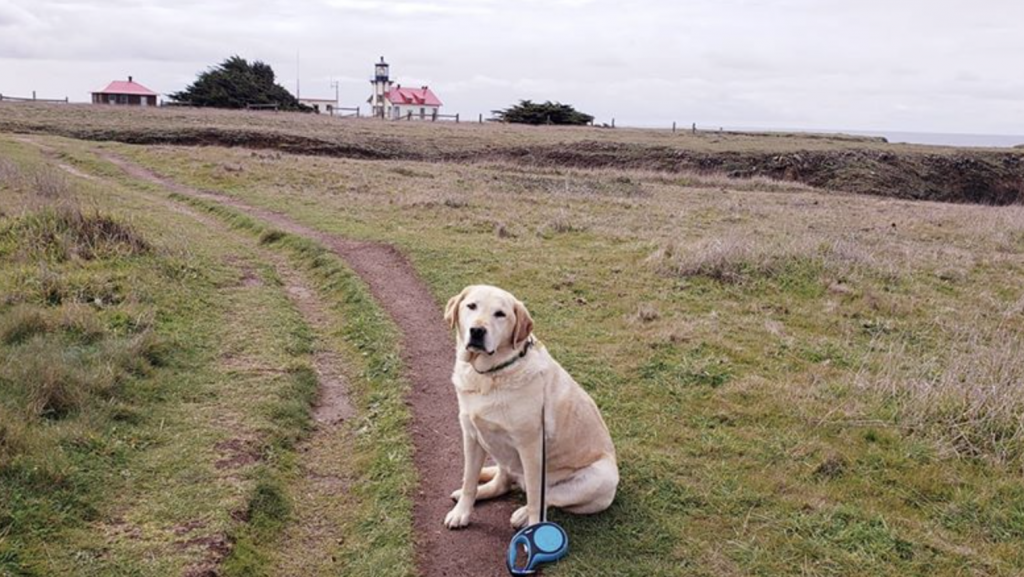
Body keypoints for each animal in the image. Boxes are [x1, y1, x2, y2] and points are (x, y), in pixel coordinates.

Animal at [440, 286, 614, 528]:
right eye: (471, 306)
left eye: (500, 314)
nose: (477, 331)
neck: (491, 374)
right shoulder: (471, 435)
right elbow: (469, 481)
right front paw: (461, 512)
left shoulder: (531, 449)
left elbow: (535, 498)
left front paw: (533, 526)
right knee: (500, 482)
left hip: (601, 477)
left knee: (549, 496)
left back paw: (522, 515)